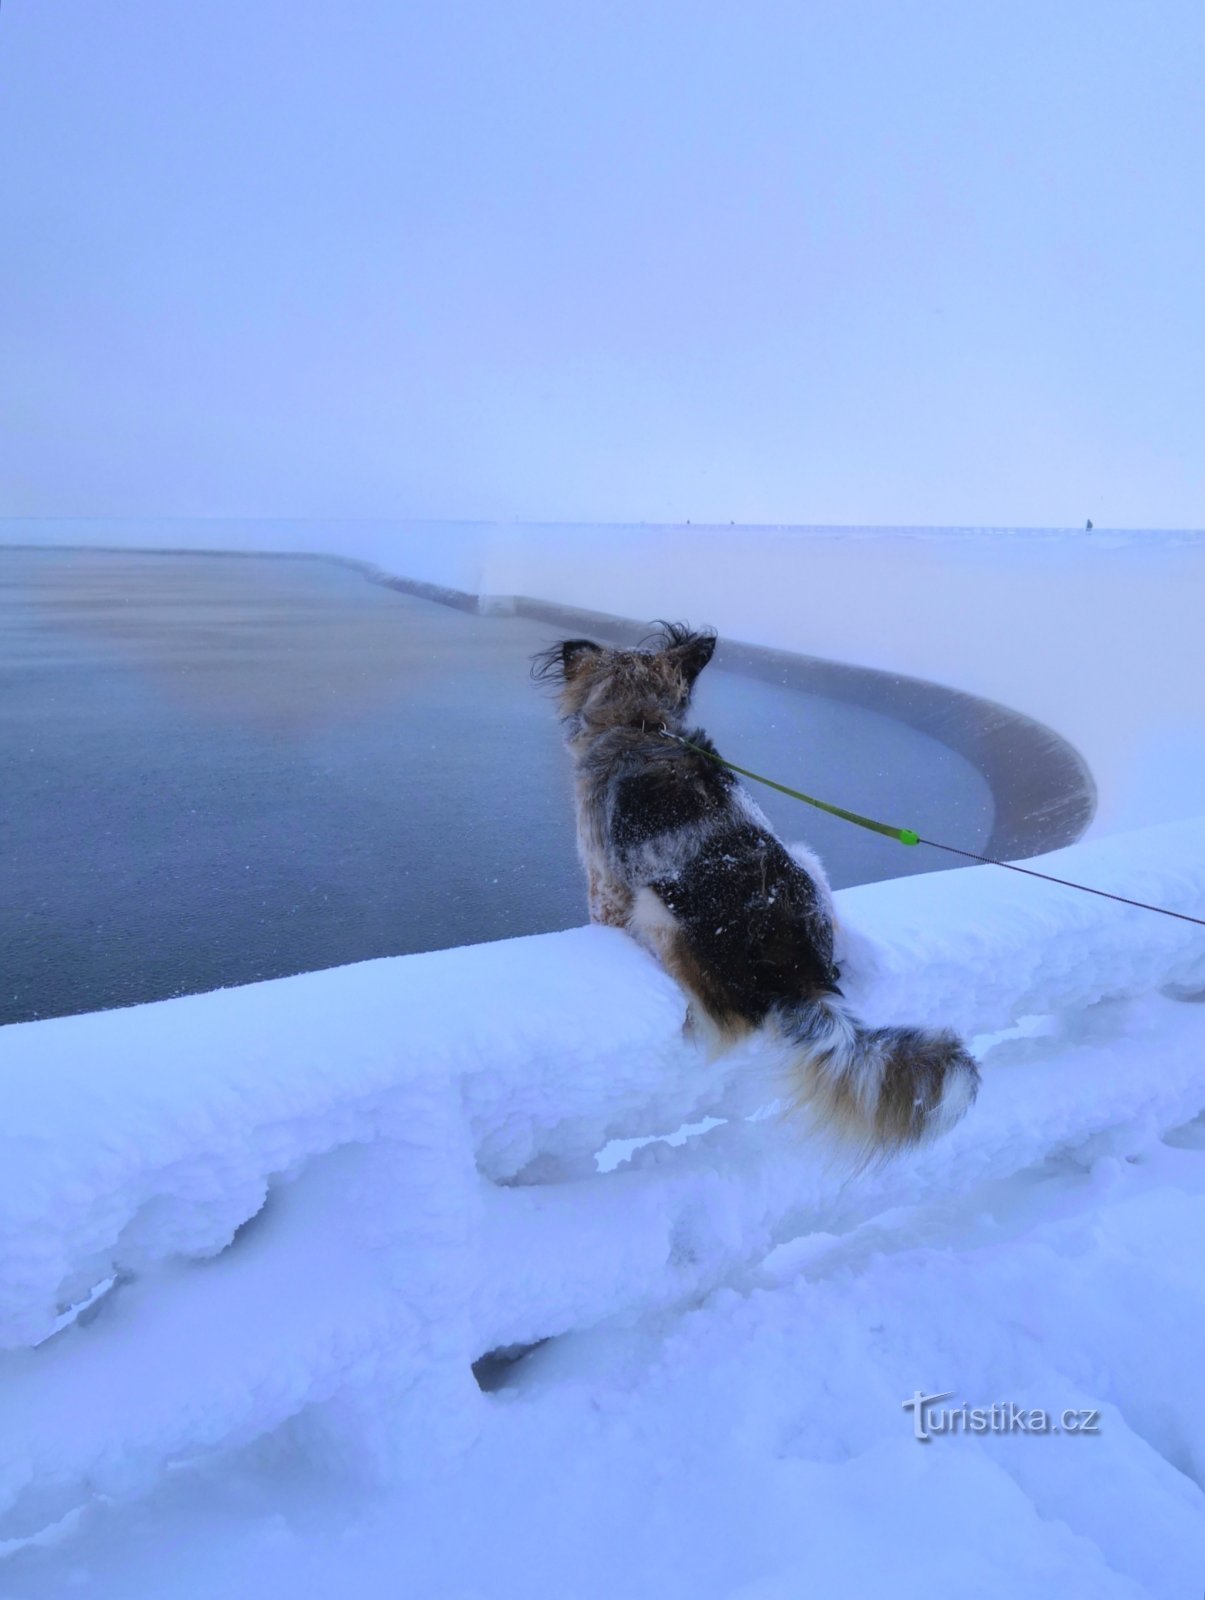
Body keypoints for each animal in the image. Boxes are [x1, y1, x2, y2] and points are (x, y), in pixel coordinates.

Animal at [534, 617, 979, 1158]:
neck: (642, 723)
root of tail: (802, 970)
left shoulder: (606, 883)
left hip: (659, 908)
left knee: (721, 1020)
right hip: (807, 859)